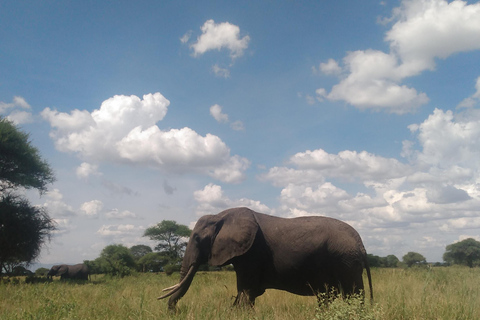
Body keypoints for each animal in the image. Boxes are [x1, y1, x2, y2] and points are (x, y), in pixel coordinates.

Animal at [159, 208, 374, 310]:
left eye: (197, 238)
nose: (174, 312)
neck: (220, 215)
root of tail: (360, 243)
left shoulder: (252, 253)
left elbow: (245, 292)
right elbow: (246, 293)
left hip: (345, 261)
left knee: (353, 295)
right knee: (328, 296)